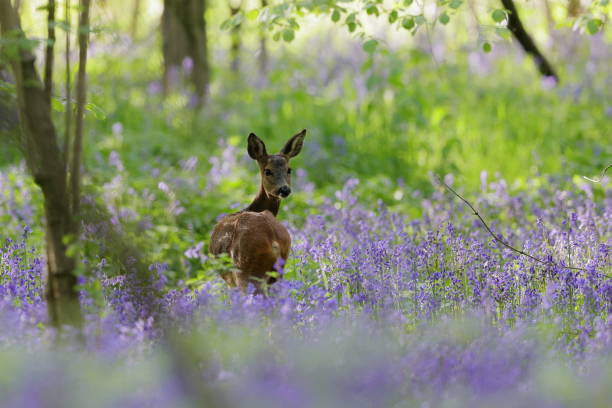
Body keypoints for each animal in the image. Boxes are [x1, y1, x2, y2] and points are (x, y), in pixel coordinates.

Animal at [210, 129, 306, 292]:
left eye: (288, 169)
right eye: (267, 171)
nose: (284, 189)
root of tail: (273, 239)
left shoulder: (230, 281)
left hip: (247, 269)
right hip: (278, 271)